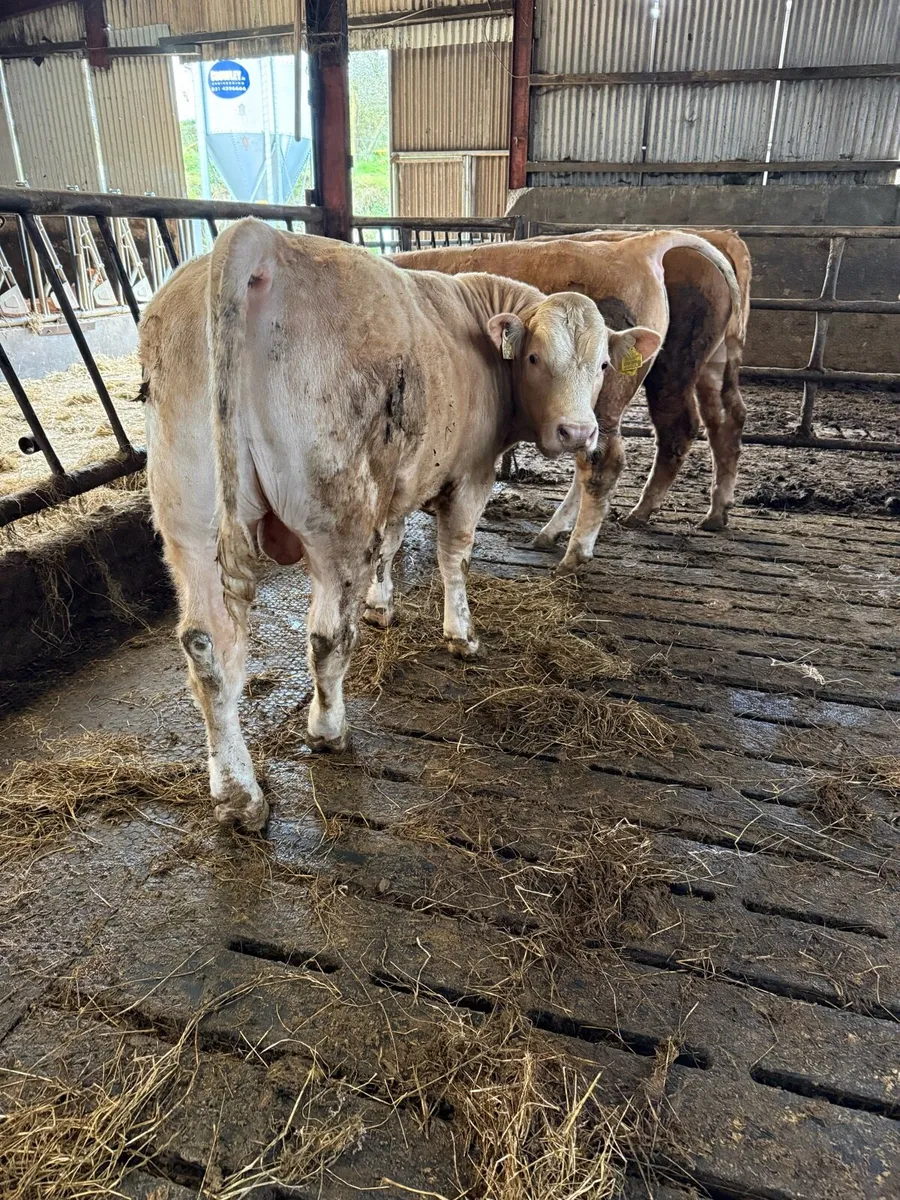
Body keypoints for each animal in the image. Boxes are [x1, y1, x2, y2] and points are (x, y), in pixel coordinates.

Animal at [140, 218, 661, 830]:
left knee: (208, 648)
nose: (578, 432)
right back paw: (328, 731)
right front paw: (461, 634)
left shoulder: (393, 488)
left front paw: (382, 606)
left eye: (602, 364)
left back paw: (238, 793)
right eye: (534, 357)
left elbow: (390, 544)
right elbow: (454, 555)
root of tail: (260, 239)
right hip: (337, 515)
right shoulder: (469, 475)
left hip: (189, 521)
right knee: (326, 636)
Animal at [392, 230, 748, 573]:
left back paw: (579, 548)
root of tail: (643, 245)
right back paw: (712, 513)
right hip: (708, 367)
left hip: (625, 394)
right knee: (724, 419)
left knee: (615, 456)